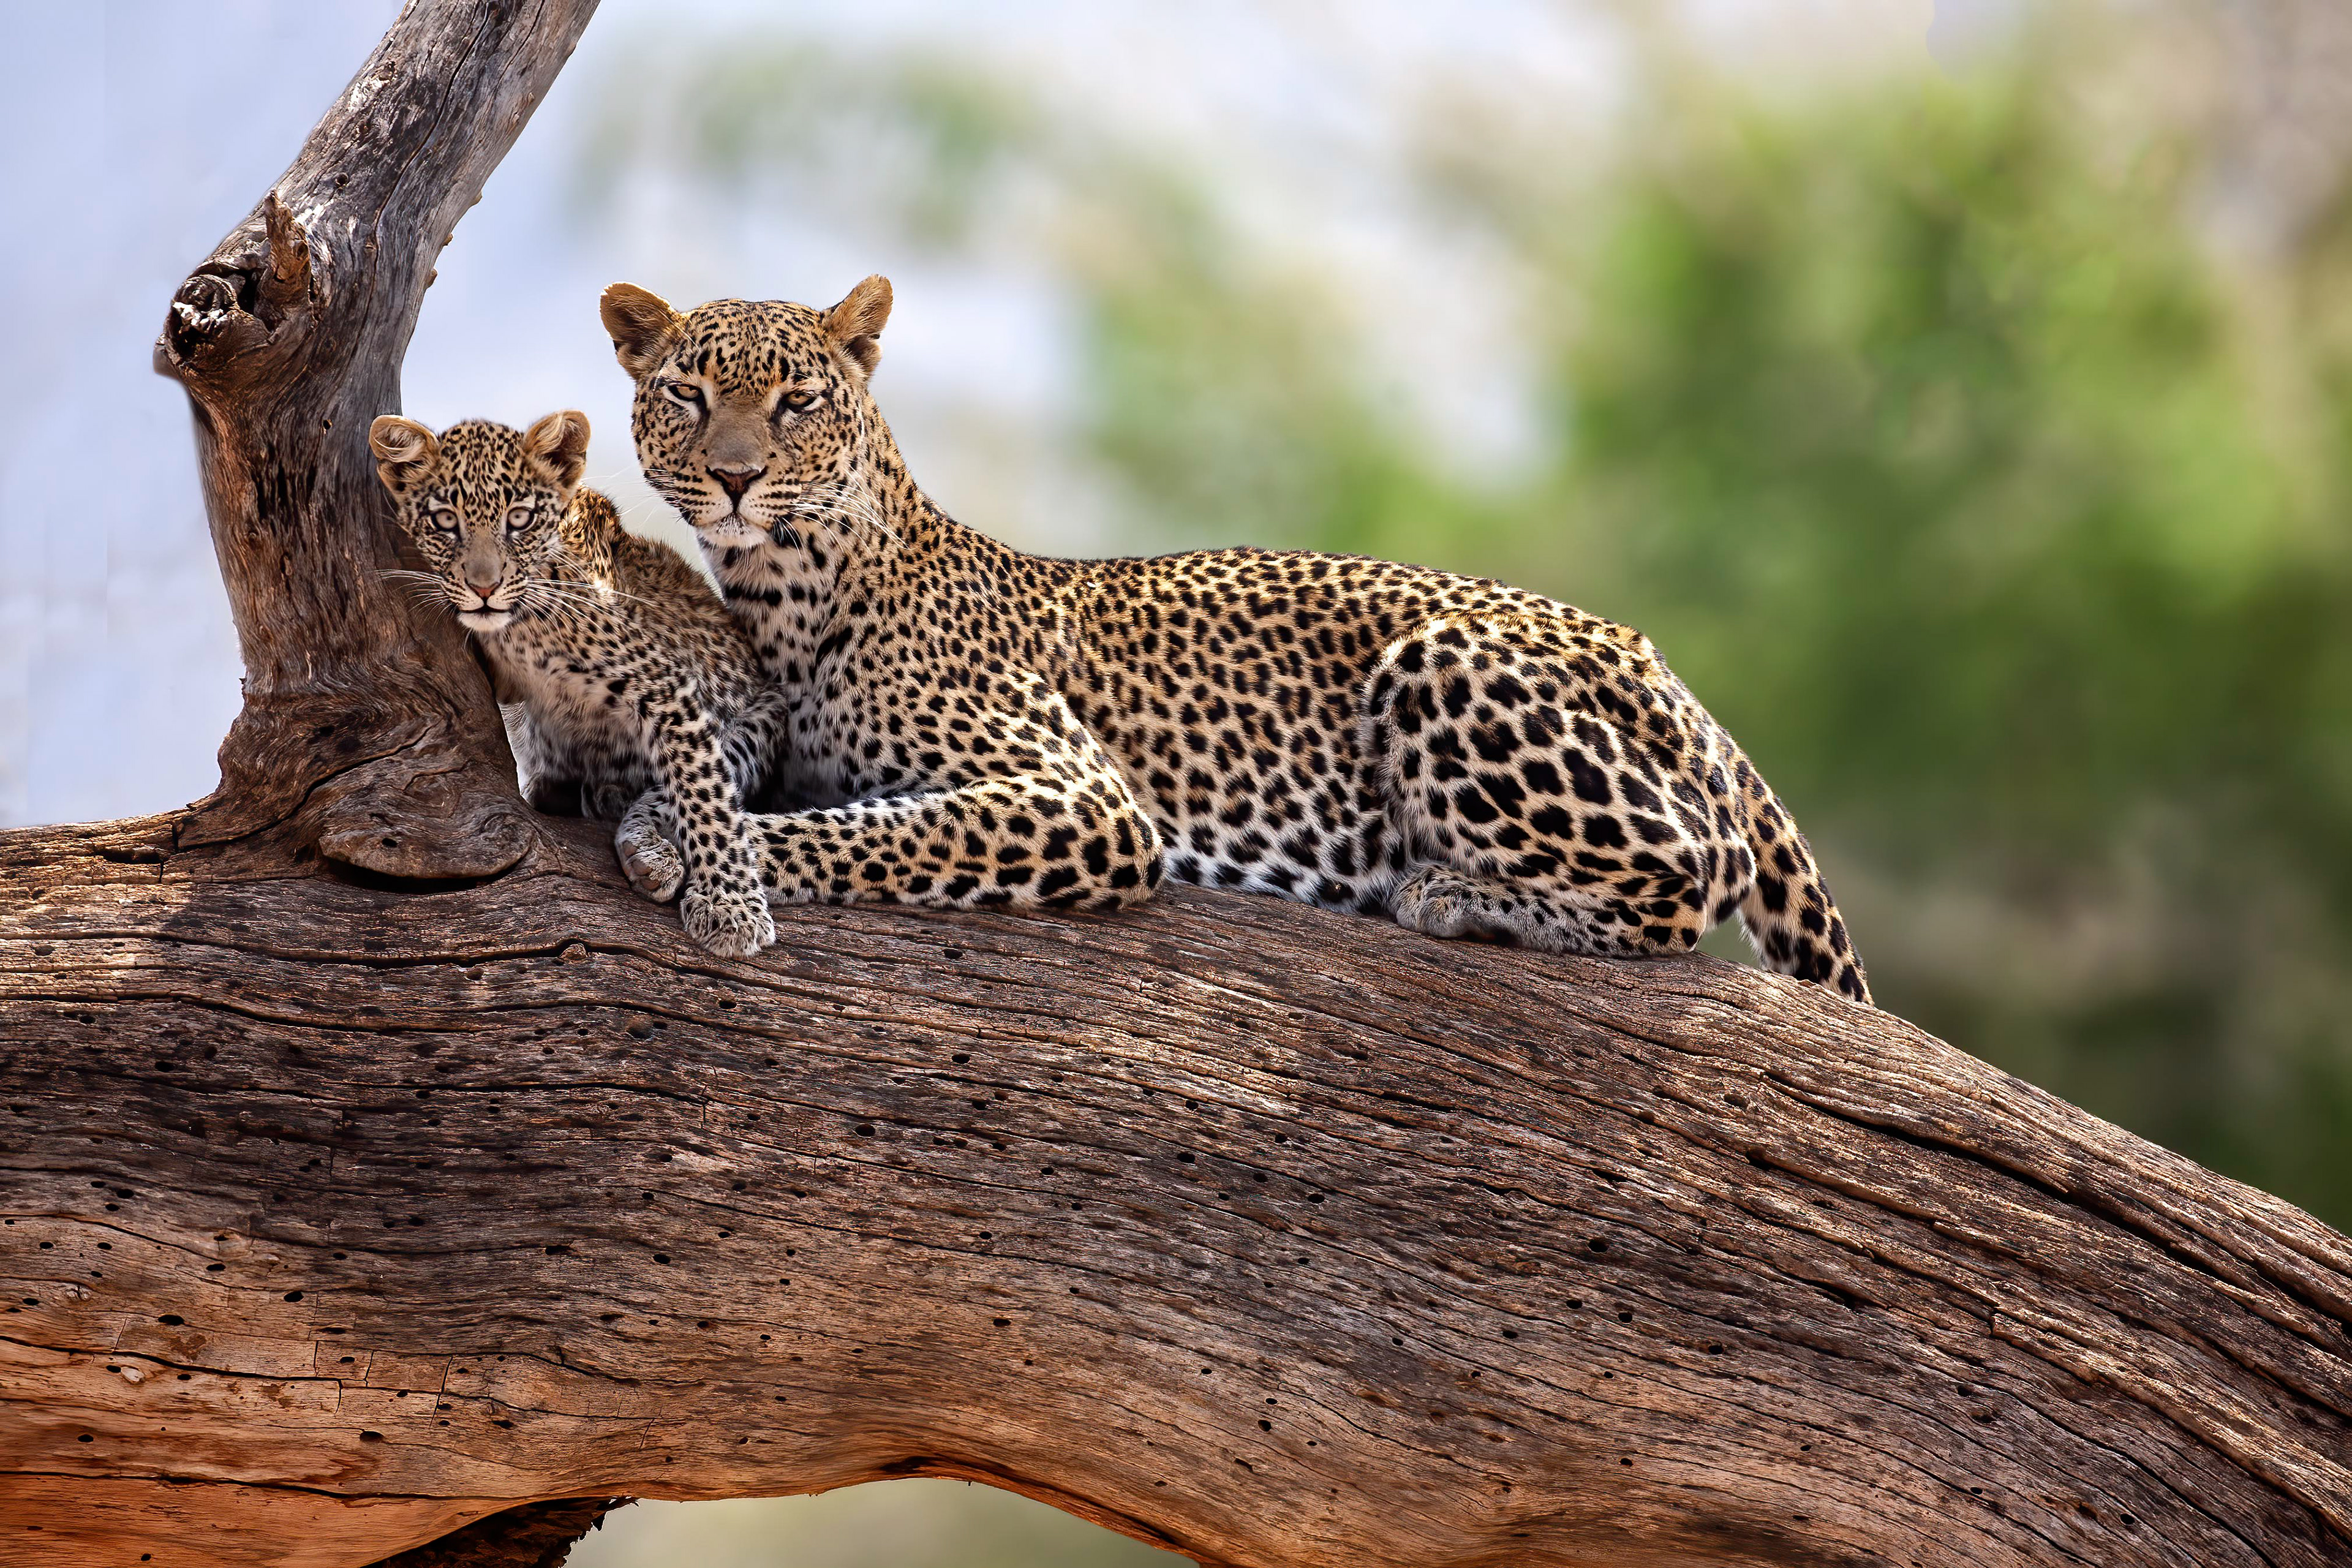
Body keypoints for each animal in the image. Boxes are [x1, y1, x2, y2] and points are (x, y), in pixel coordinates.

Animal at [368, 410, 788, 958]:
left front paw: (732, 908)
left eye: (519, 519)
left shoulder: (669, 687)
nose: (484, 588)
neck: (520, 634)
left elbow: (707, 795)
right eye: (445, 522)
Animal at [596, 277, 1870, 1003]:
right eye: (689, 396)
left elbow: (866, 832)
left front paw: (670, 837)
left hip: (1443, 662)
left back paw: (1446, 892)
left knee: (1683, 888)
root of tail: (1679, 681)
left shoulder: (1086, 803)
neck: (786, 588)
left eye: (797, 402)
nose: (735, 479)